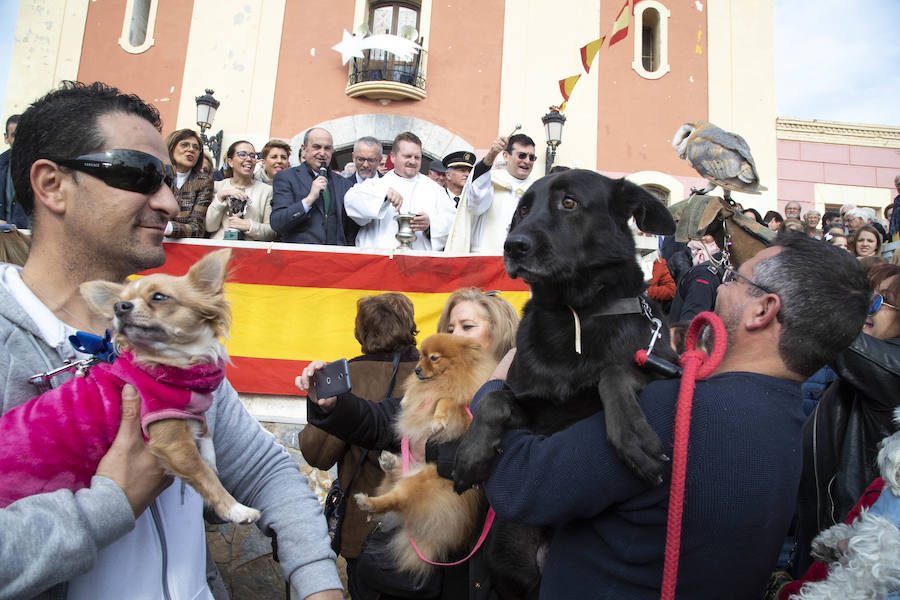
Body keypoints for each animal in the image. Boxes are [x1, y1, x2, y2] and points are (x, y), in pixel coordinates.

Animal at [0, 248, 260, 524]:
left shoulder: (189, 413)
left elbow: (206, 435)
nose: (118, 306)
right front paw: (236, 509)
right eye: (119, 302)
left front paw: (210, 459)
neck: (171, 362)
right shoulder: (170, 441)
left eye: (159, 297)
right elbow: (205, 476)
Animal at [356, 336, 500, 580]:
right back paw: (389, 465)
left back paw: (370, 503)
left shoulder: (464, 412)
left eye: (433, 358)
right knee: (394, 483)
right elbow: (415, 394)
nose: (416, 370)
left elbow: (446, 400)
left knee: (397, 500)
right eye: (420, 356)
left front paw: (438, 419)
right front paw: (406, 399)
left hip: (423, 480)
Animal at [454, 166, 680, 596]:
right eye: (523, 209)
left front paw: (633, 436)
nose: (514, 245)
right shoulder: (528, 414)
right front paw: (472, 452)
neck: (571, 314)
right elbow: (494, 400)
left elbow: (613, 372)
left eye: (569, 202)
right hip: (507, 551)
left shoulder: (664, 364)